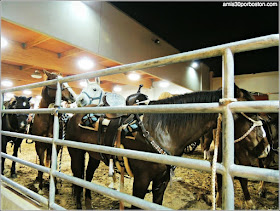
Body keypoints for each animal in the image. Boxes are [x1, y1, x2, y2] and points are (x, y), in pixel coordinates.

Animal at [66, 84, 270, 209]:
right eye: (252, 112)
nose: (266, 148)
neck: (161, 128)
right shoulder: (141, 180)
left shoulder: (161, 181)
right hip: (76, 153)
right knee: (77, 176)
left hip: (94, 155)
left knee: (87, 176)